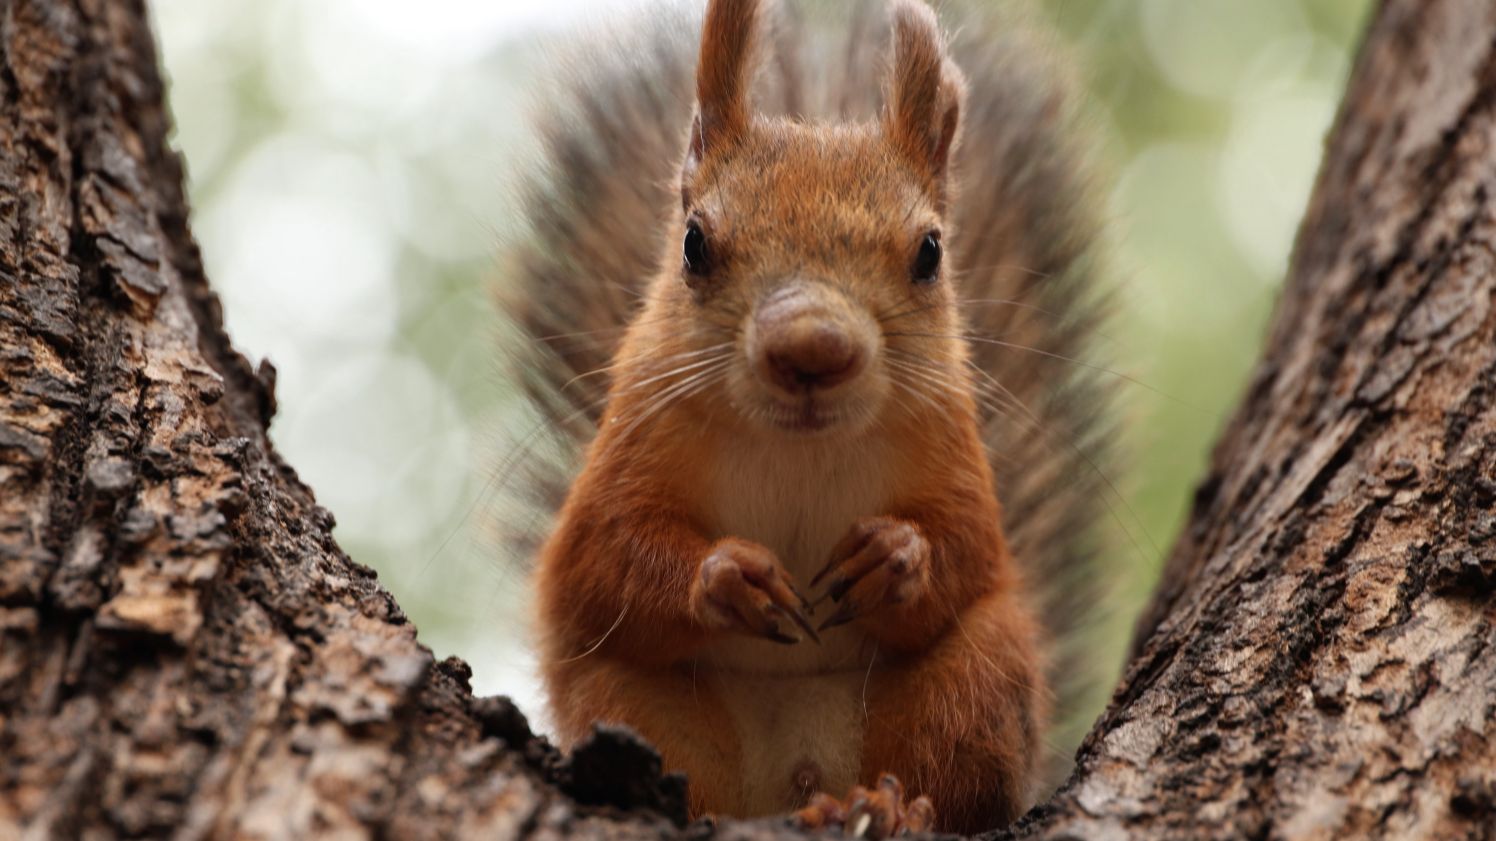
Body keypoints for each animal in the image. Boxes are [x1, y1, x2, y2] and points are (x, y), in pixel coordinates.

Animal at [498, 0, 1114, 833]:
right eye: (694, 242)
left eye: (930, 252)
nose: (813, 348)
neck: (799, 447)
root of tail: (798, 783)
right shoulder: (630, 443)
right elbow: (599, 559)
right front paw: (727, 575)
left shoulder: (953, 447)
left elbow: (969, 548)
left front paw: (896, 557)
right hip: (631, 698)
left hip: (979, 675)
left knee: (959, 771)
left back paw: (892, 808)